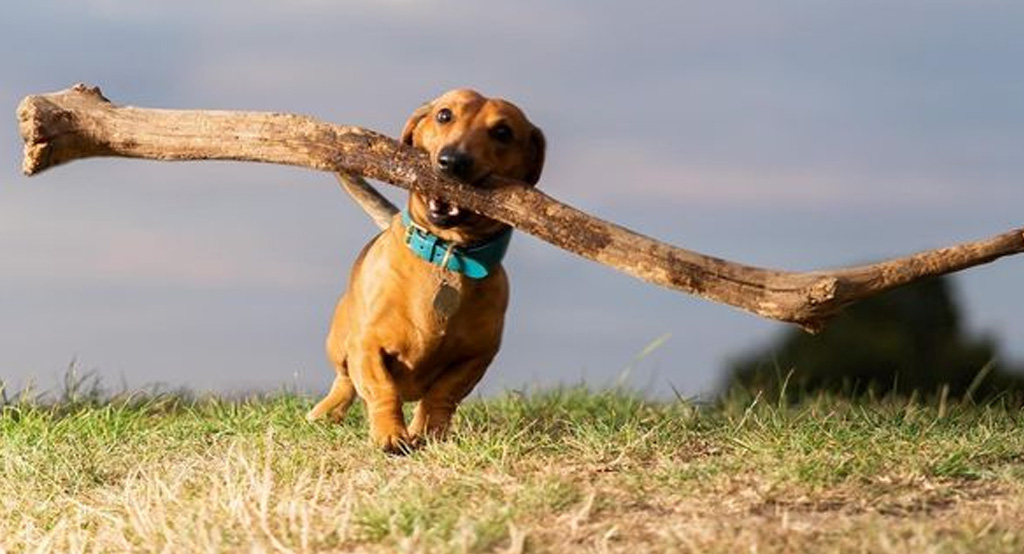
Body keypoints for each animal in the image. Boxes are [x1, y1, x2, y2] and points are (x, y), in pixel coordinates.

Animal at [303, 87, 544, 448]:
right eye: (444, 115)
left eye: (502, 132)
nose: (452, 162)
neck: (447, 255)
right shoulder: (367, 345)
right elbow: (381, 389)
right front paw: (390, 434)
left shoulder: (476, 357)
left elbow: (442, 394)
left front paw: (428, 432)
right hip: (339, 341)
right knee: (345, 379)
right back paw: (326, 411)